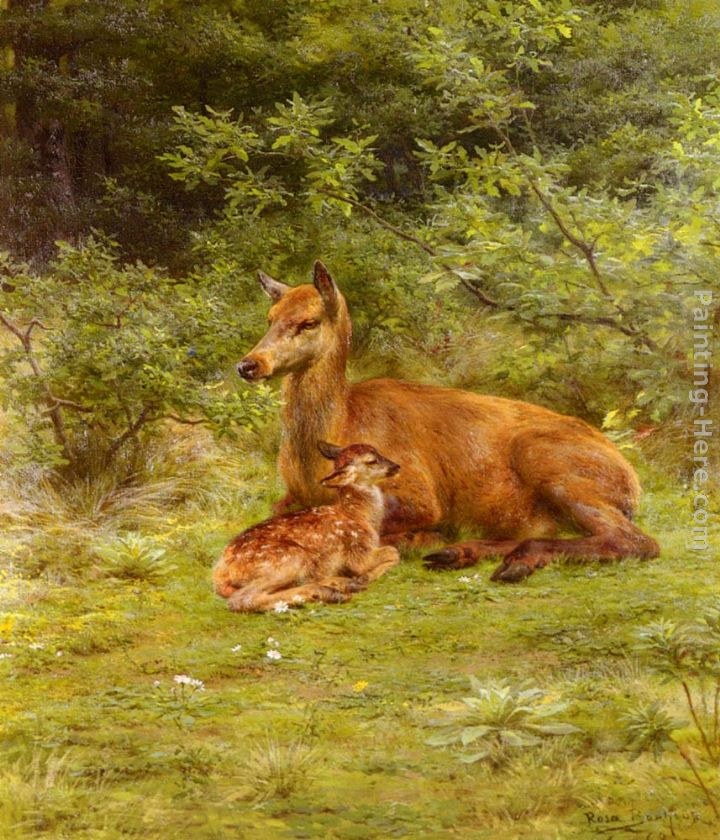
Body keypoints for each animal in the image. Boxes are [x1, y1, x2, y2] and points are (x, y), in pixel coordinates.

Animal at [213, 442, 401, 612]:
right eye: (371, 460)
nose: (396, 466)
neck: (359, 515)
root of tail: (221, 571)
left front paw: (359, 579)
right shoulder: (357, 552)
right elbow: (393, 551)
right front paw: (366, 577)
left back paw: (339, 585)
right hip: (288, 559)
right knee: (241, 599)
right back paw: (331, 593)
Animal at [235, 260, 660, 583]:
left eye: (309, 322)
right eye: (270, 318)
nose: (249, 364)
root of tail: (633, 482)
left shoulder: (420, 494)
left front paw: (422, 537)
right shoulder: (291, 494)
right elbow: (277, 514)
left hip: (551, 462)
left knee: (637, 541)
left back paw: (510, 561)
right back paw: (459, 553)